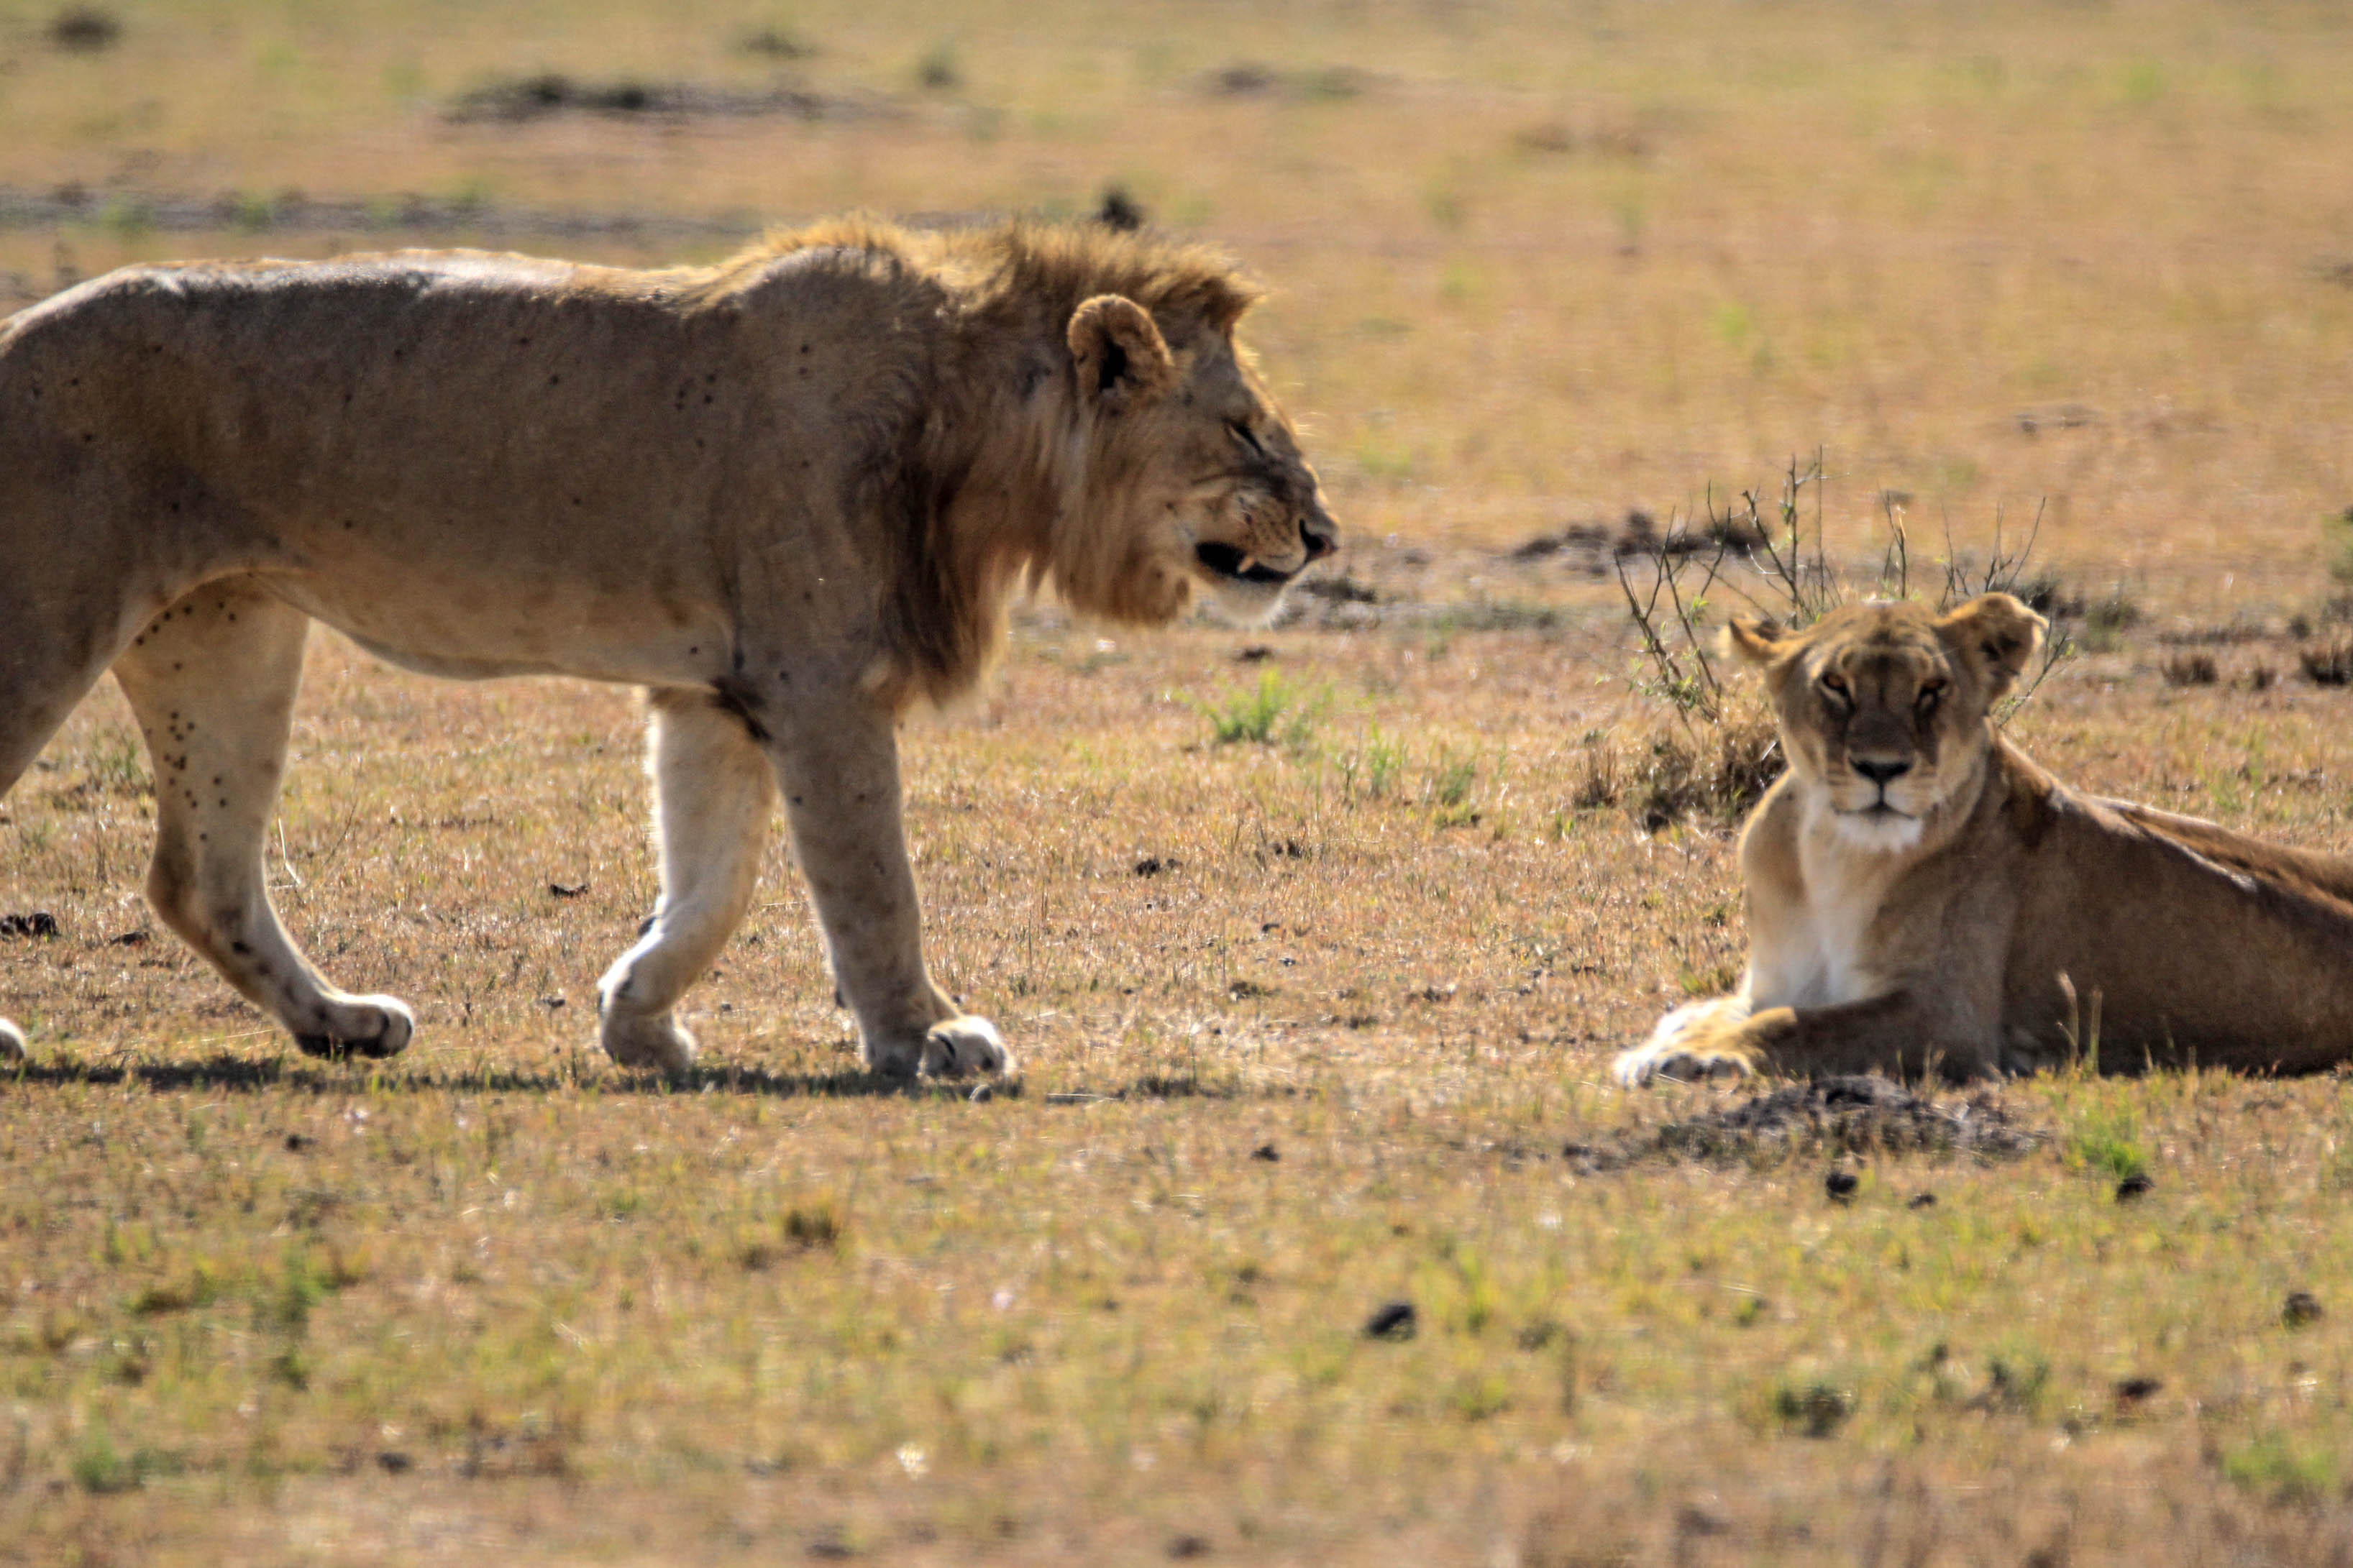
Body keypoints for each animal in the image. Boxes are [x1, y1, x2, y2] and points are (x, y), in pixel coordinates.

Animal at [0, 221, 1336, 1072]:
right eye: (1243, 430)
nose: (1323, 536)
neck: (970, 435)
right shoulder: (820, 682)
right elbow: (871, 883)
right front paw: (923, 1035)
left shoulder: (719, 694)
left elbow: (714, 882)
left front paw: (637, 1019)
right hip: (50, 617)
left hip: (225, 632)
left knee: (201, 875)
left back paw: (341, 1023)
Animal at [1619, 595, 2353, 1086]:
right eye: (1835, 684)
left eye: (1932, 689)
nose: (1882, 768)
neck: (1834, 852)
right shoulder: (1772, 979)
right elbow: (1718, 1010)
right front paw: (1667, 1041)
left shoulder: (1948, 1016)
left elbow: (1798, 1024)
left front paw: (1696, 1056)